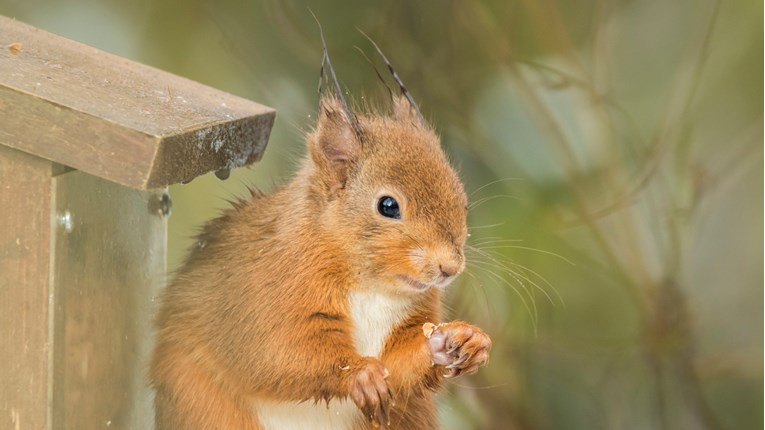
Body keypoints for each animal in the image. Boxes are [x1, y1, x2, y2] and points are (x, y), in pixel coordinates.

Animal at [151, 39, 490, 426]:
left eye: (463, 201)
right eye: (388, 205)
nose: (450, 268)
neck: (372, 288)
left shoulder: (414, 316)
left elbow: (400, 363)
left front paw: (461, 340)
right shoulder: (265, 296)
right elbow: (282, 353)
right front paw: (361, 374)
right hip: (202, 403)